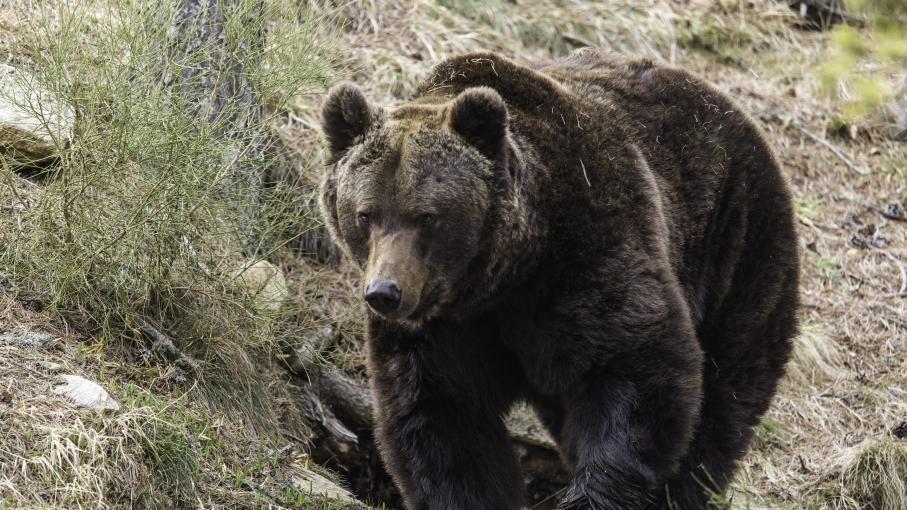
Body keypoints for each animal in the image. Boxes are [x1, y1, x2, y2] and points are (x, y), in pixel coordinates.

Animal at [320, 48, 800, 510]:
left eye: (427, 217)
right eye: (365, 214)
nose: (385, 293)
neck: (504, 276)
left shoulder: (592, 252)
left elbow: (639, 367)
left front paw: (593, 495)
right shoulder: (443, 330)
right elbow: (442, 421)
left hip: (737, 242)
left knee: (724, 396)